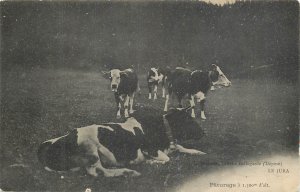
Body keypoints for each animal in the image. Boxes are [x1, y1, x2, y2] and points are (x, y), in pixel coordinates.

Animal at [37, 106, 205, 177]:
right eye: (189, 119)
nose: (204, 132)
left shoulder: (169, 145)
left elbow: (182, 147)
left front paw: (199, 152)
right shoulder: (149, 149)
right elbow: (167, 159)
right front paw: (150, 162)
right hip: (90, 148)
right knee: (97, 172)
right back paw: (128, 171)